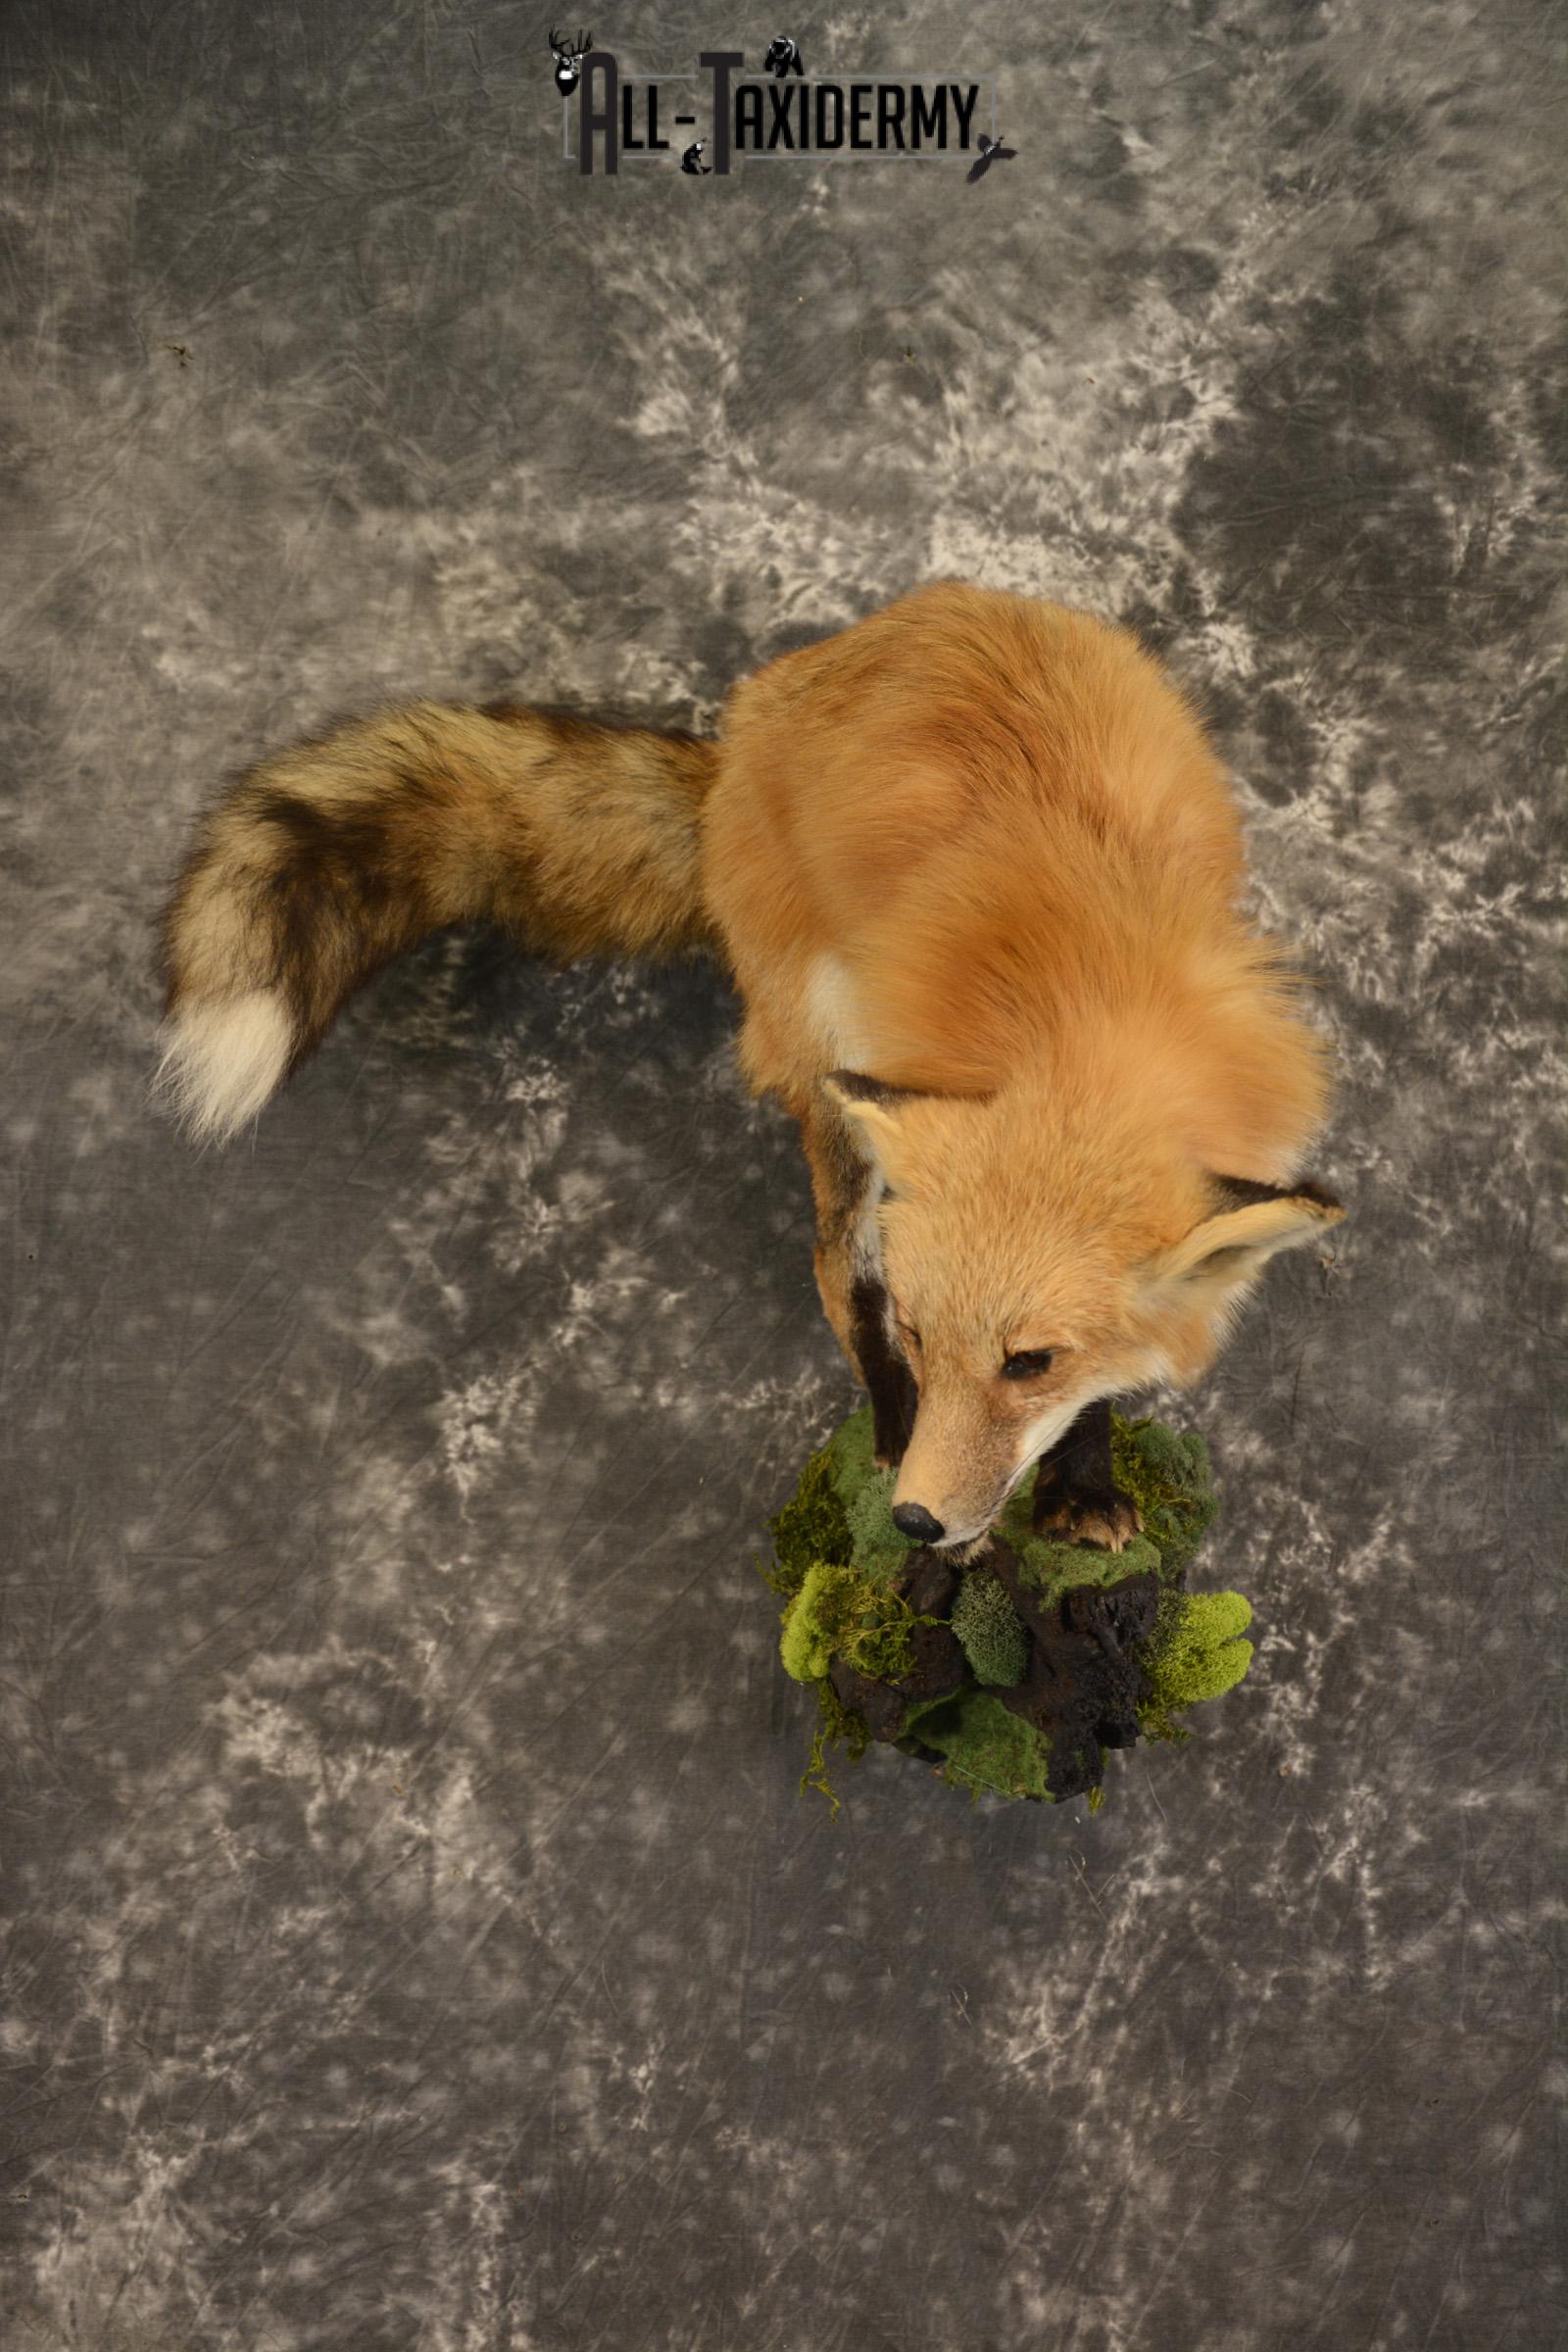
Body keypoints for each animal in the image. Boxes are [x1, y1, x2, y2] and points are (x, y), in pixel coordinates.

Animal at [156, 581, 1343, 1557]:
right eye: (924, 1338)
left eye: (1029, 1363)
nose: (915, 1523)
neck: (1089, 1018)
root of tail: (738, 735)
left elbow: (1104, 1388)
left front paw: (1079, 1488)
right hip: (828, 1057)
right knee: (836, 1266)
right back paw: (882, 1426)